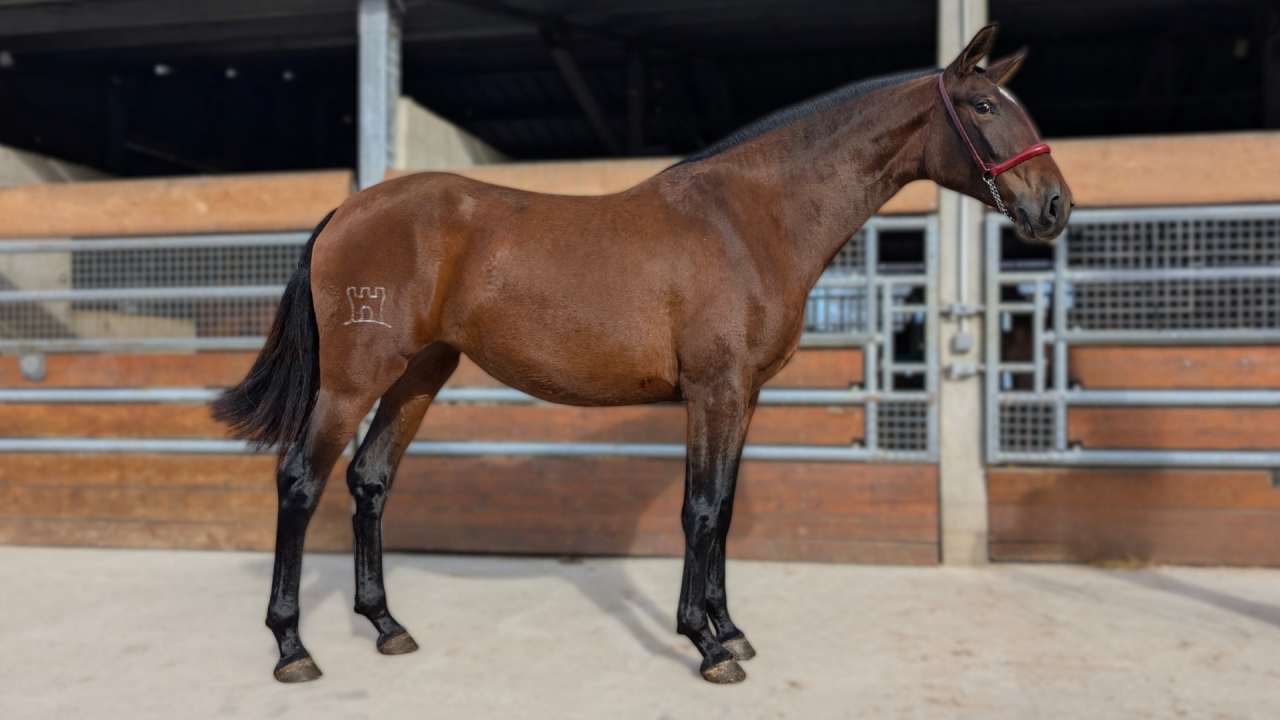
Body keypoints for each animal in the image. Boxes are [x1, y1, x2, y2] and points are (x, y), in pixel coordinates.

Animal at [212, 24, 1071, 685]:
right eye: (985, 105)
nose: (1056, 206)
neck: (753, 216)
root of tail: (346, 212)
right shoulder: (714, 390)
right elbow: (700, 510)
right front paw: (706, 646)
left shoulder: (744, 396)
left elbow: (723, 511)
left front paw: (730, 631)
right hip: (353, 381)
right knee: (300, 482)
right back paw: (292, 649)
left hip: (419, 376)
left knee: (369, 481)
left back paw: (386, 626)